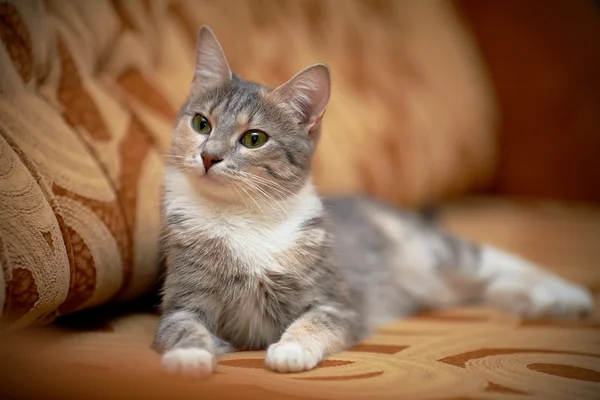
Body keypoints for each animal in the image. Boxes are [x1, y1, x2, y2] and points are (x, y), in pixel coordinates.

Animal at [152, 26, 592, 376]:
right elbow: (182, 328)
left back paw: (564, 295)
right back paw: (536, 303)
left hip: (434, 250)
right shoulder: (182, 302)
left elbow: (313, 323)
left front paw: (290, 349)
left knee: (495, 261)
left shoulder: (337, 303)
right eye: (201, 123)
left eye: (254, 138)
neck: (241, 218)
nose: (209, 157)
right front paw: (189, 358)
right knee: (486, 287)